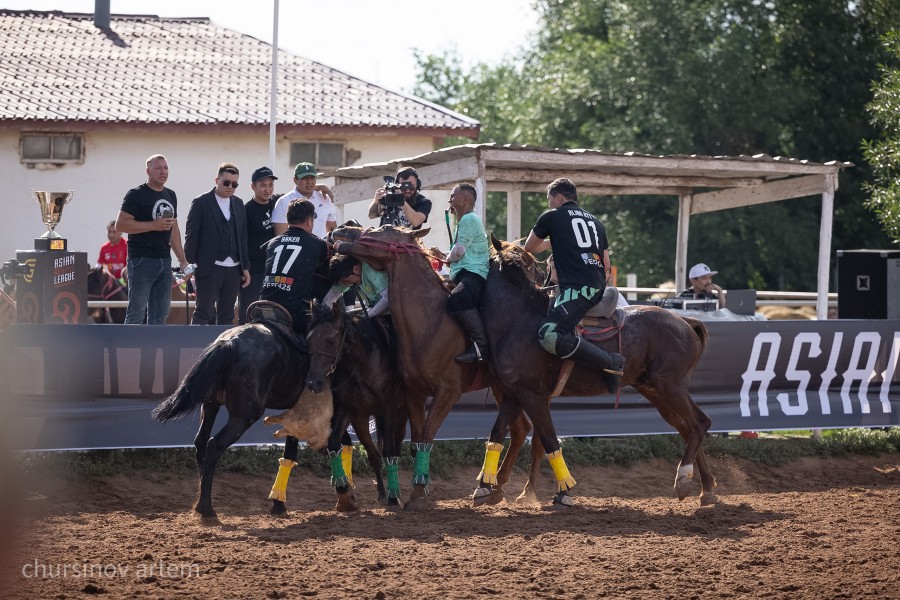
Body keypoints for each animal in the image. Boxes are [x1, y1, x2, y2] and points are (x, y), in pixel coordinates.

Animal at [306, 302, 412, 508]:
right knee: (375, 453)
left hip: (401, 415)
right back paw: (383, 492)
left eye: (330, 341)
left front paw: (393, 498)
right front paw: (344, 492)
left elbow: (389, 451)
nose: (314, 383)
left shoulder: (388, 408)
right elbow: (335, 444)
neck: (362, 363)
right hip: (365, 419)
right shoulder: (351, 411)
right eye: (308, 340)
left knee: (394, 448)